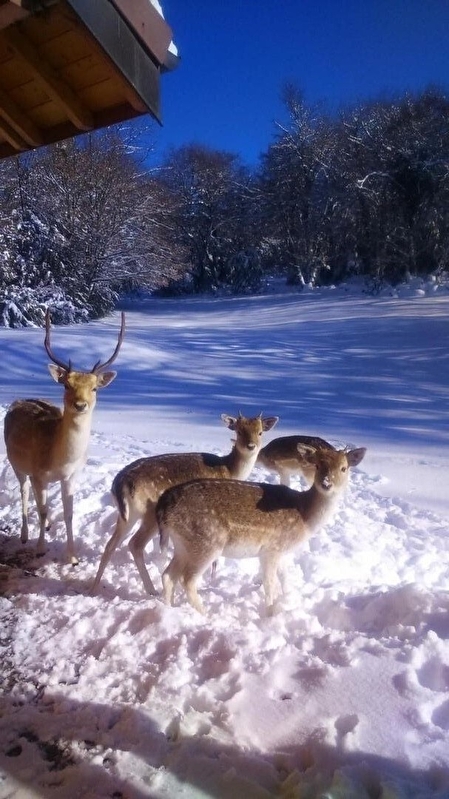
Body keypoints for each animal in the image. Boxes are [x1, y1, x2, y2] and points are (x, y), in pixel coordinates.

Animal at [3, 310, 125, 566]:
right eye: (67, 385)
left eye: (95, 388)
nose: (80, 405)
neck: (58, 458)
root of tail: (20, 399)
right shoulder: (38, 473)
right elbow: (42, 509)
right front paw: (40, 548)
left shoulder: (71, 476)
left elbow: (69, 513)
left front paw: (72, 556)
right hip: (16, 463)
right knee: (24, 491)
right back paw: (25, 535)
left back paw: (47, 526)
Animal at [90, 412, 279, 595]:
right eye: (239, 431)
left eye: (260, 432)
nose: (251, 446)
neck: (230, 470)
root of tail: (120, 483)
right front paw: (210, 579)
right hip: (150, 514)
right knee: (135, 544)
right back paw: (151, 589)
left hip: (127, 515)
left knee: (111, 544)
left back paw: (94, 587)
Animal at [156, 444, 366, 616]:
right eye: (317, 466)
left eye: (344, 468)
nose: (326, 483)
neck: (305, 517)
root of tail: (164, 505)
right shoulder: (271, 549)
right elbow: (269, 583)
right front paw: (270, 613)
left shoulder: (281, 551)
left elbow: (284, 577)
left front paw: (289, 600)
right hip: (207, 542)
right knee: (187, 580)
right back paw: (205, 614)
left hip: (183, 544)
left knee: (168, 575)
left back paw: (169, 608)